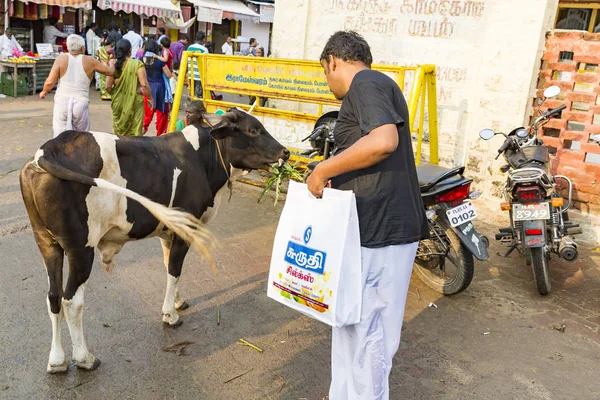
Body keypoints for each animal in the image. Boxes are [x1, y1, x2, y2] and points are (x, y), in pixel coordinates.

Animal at [19, 108, 290, 374]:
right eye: (253, 130)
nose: (285, 152)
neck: (203, 159)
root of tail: (49, 148)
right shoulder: (184, 229)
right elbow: (175, 270)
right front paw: (170, 314)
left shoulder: (169, 231)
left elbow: (168, 264)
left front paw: (178, 301)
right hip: (81, 250)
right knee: (71, 301)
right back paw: (84, 358)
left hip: (47, 244)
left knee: (53, 297)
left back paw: (57, 361)